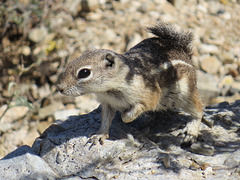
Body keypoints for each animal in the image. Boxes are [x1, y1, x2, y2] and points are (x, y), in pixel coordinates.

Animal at [57, 21, 203, 147]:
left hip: (187, 93)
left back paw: (190, 133)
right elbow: (105, 120)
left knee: (198, 111)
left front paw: (125, 115)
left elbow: (132, 112)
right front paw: (100, 135)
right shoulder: (108, 103)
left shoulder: (150, 96)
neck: (109, 89)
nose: (60, 88)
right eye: (70, 63)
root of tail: (183, 51)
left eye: (84, 72)